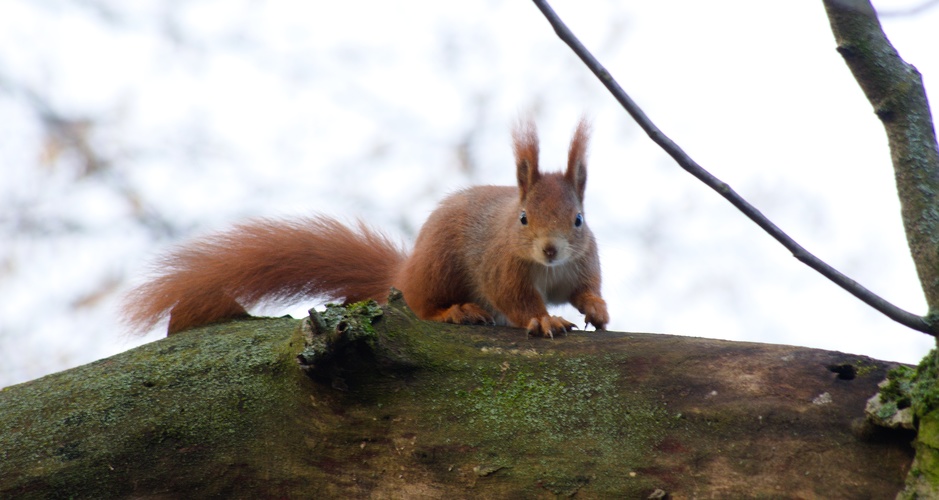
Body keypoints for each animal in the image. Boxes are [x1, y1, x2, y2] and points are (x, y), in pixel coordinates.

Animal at [123, 119, 608, 338]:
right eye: (523, 218)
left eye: (578, 219)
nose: (550, 249)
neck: (546, 270)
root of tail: (404, 273)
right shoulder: (501, 266)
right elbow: (518, 300)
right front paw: (544, 319)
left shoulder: (581, 263)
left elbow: (585, 289)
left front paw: (597, 309)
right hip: (438, 270)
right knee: (421, 304)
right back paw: (455, 311)